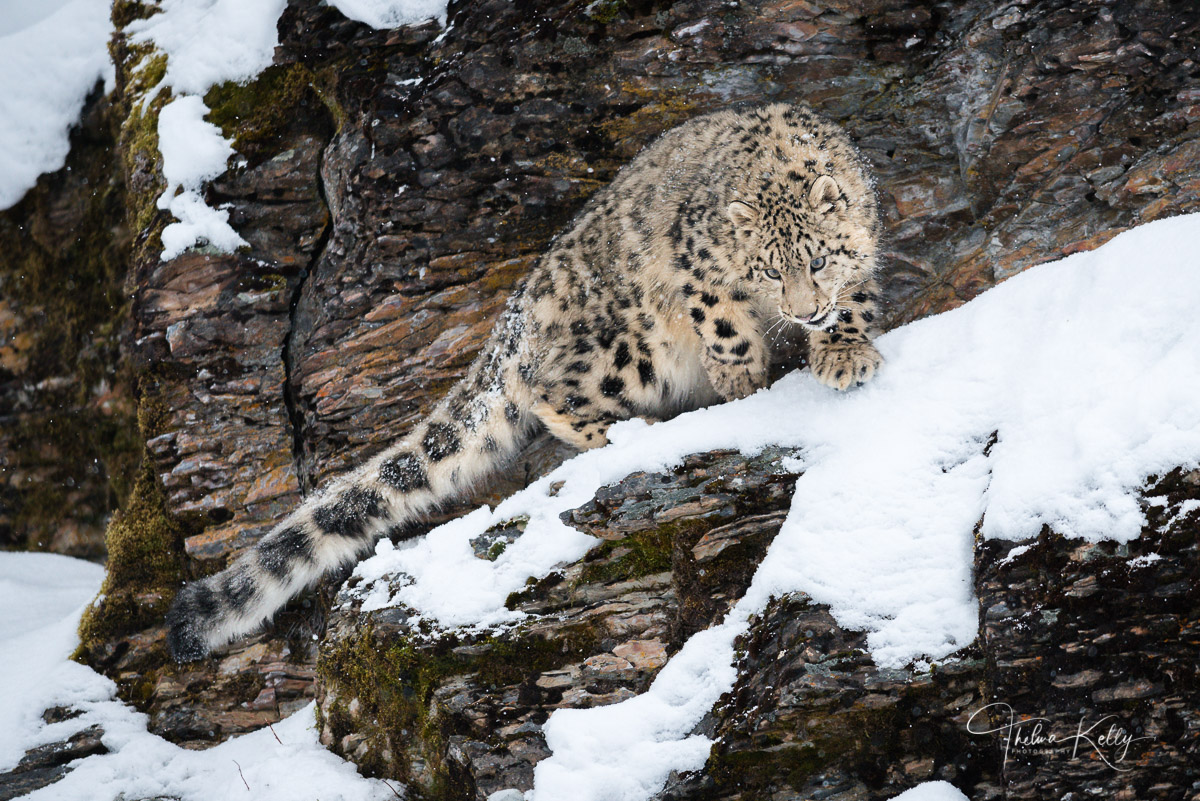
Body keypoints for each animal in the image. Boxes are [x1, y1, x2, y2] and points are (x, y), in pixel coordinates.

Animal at [166, 100, 883, 661]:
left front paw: (845, 353)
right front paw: (745, 383)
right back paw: (638, 430)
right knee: (554, 393)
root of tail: (519, 312)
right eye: (769, 268)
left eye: (819, 259)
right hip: (625, 346)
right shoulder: (700, 278)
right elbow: (728, 331)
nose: (803, 310)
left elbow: (857, 303)